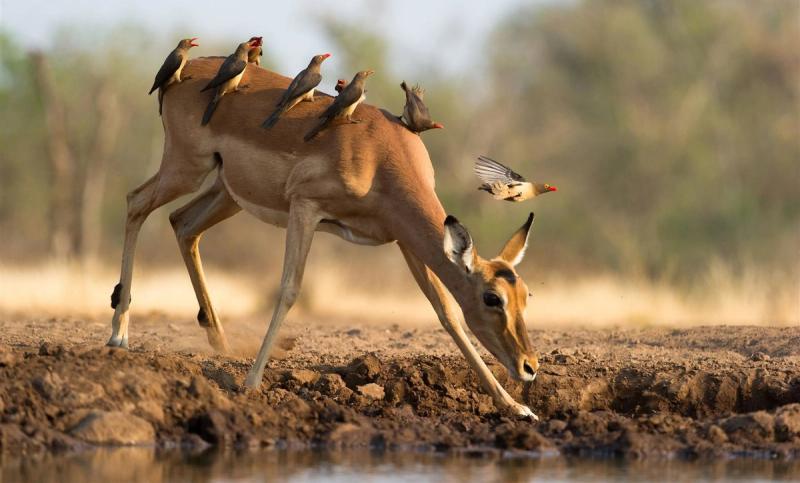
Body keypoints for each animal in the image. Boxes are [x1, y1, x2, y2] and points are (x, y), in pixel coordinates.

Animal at [107, 57, 541, 419]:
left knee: (182, 223)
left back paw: (220, 342)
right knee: (136, 202)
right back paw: (118, 335)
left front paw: (517, 408)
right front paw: (251, 384)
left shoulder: (402, 239)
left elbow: (446, 312)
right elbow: (288, 290)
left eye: (526, 295)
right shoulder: (306, 208)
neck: (380, 157)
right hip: (186, 169)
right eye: (492, 298)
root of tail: (186, 69)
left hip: (225, 192)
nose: (529, 367)